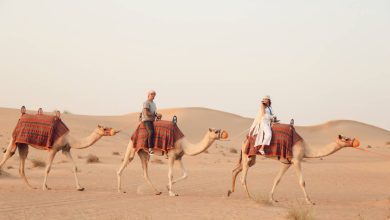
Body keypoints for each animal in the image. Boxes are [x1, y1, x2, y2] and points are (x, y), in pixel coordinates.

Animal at [229, 134, 360, 205]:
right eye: (346, 139)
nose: (355, 141)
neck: (306, 149)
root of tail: (245, 139)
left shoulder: (287, 162)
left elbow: (277, 179)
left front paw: (272, 199)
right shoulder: (297, 160)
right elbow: (302, 182)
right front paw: (310, 201)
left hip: (251, 157)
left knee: (235, 170)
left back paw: (230, 191)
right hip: (247, 155)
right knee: (243, 177)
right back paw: (250, 197)